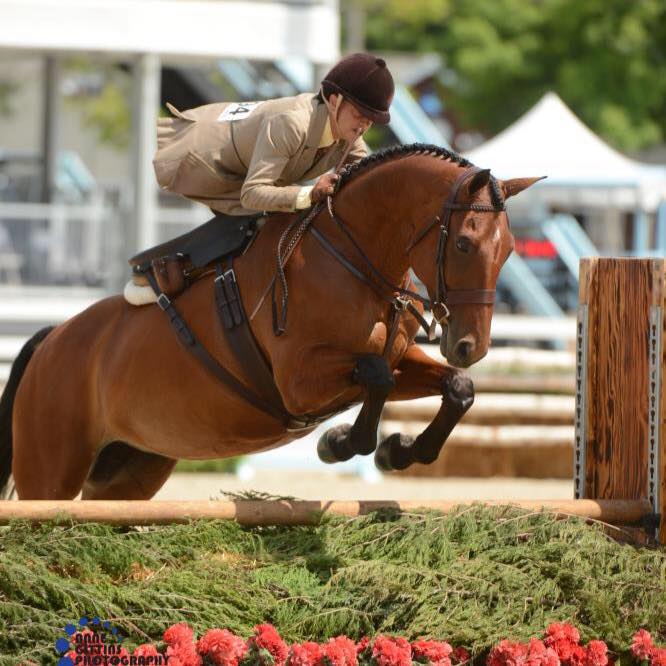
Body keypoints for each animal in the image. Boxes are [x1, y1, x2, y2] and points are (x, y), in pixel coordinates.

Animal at [0, 145, 540, 498]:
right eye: (464, 243)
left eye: (510, 249)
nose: (471, 346)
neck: (353, 257)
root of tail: (52, 340)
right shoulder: (301, 382)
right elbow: (375, 377)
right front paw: (339, 443)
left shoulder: (400, 357)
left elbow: (457, 388)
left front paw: (401, 451)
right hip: (51, 471)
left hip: (130, 472)